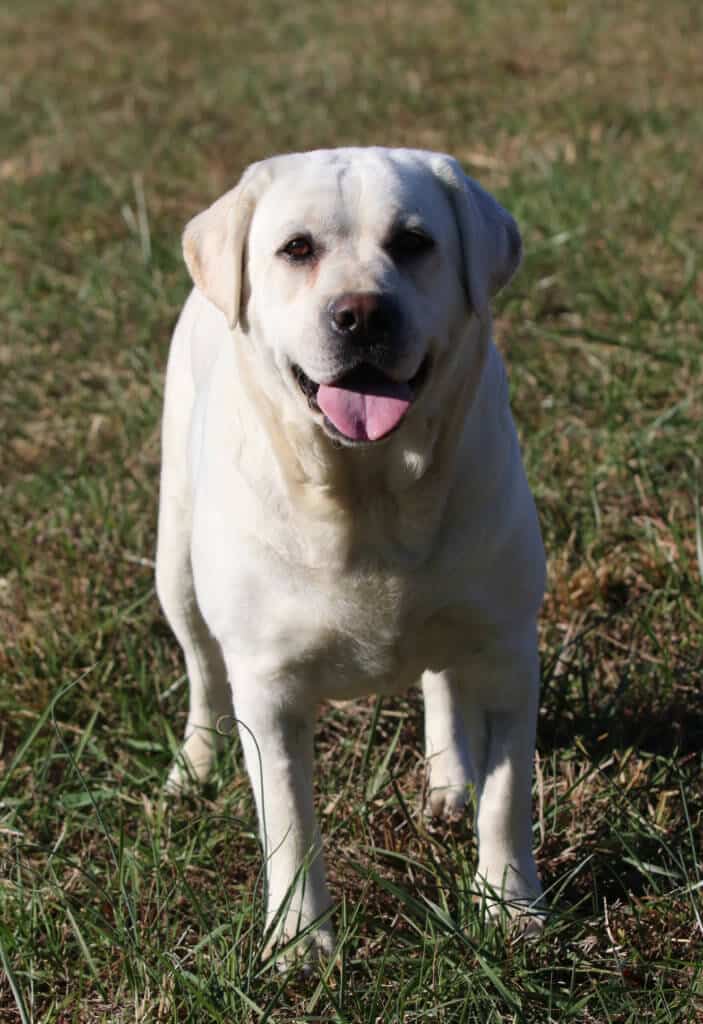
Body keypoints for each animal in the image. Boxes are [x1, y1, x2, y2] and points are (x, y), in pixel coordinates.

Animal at [156, 146, 548, 958]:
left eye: (413, 242)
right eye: (297, 248)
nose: (362, 313)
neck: (367, 495)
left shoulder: (506, 647)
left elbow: (506, 794)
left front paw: (508, 907)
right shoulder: (268, 690)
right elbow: (289, 822)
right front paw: (300, 943)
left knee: (440, 678)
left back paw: (448, 781)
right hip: (174, 563)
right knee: (202, 670)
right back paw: (194, 769)